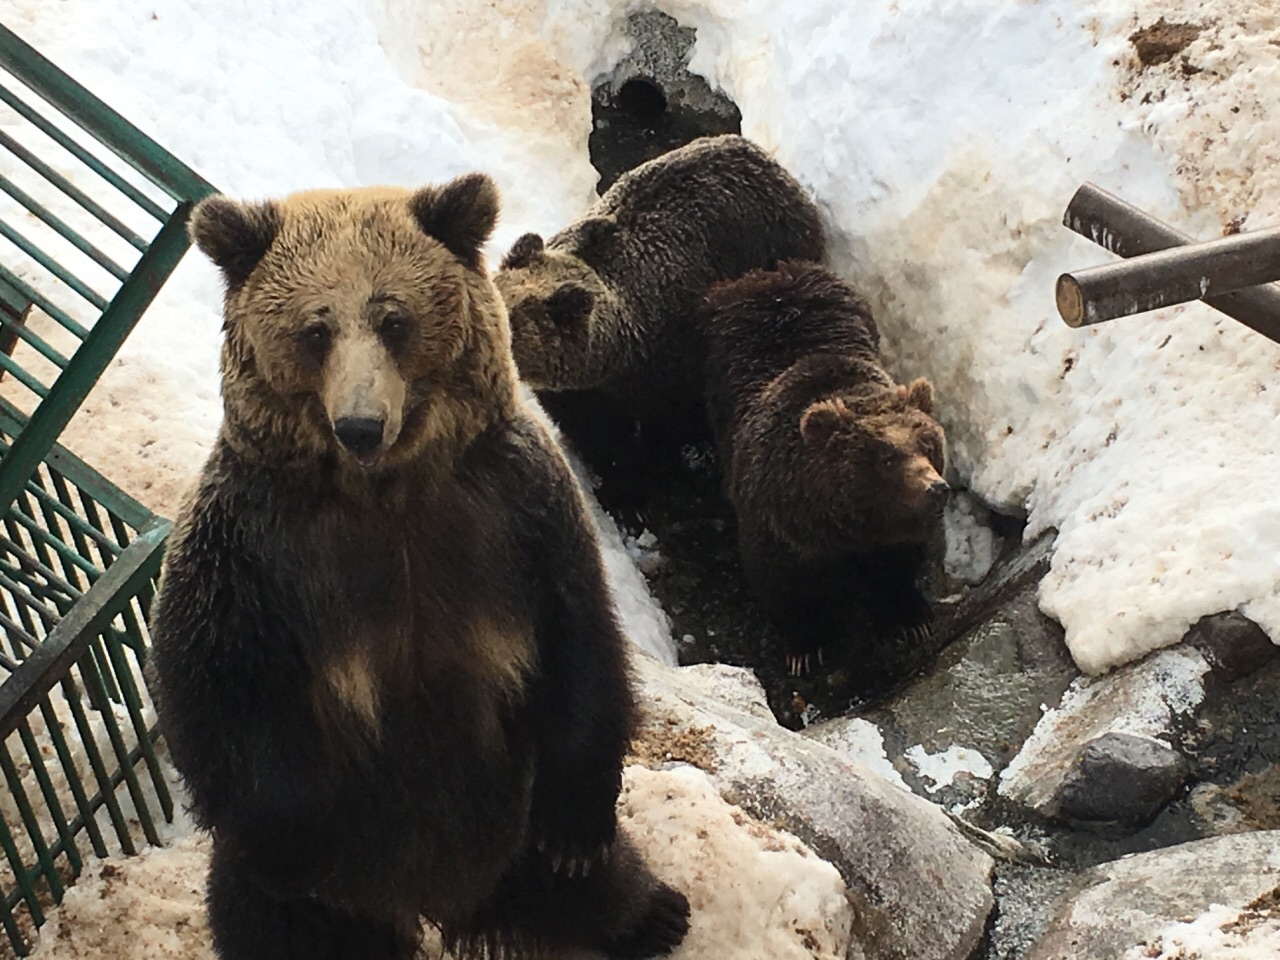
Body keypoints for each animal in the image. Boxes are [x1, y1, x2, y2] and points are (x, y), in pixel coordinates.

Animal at [146, 180, 691, 960]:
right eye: (315, 330)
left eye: (393, 319)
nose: (361, 425)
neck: (386, 493)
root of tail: (440, 900)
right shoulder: (252, 546)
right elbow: (209, 679)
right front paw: (291, 847)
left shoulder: (515, 513)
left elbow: (581, 640)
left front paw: (577, 836)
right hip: (340, 888)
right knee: (274, 921)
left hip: (511, 807)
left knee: (593, 882)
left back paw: (653, 914)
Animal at [494, 133, 824, 519]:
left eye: (511, 327)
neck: (613, 357)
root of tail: (766, 160)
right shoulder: (581, 392)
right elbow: (596, 432)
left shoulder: (668, 362)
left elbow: (665, 428)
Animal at [701, 256, 952, 675]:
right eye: (887, 456)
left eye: (927, 445)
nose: (937, 488)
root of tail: (770, 273)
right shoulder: (779, 530)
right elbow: (784, 587)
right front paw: (804, 649)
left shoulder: (896, 531)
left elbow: (898, 567)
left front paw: (910, 617)